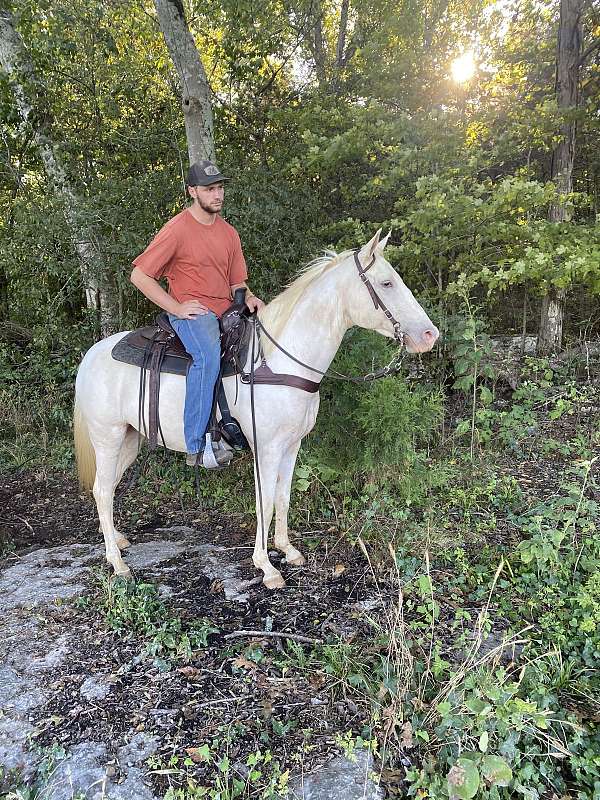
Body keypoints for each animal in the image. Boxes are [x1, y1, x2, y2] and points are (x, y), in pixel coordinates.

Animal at [75, 231, 438, 588]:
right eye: (386, 283)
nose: (429, 334)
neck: (278, 362)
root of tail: (92, 354)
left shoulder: (292, 446)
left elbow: (283, 496)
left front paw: (288, 550)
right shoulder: (267, 448)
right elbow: (264, 501)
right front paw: (267, 567)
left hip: (130, 439)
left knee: (105, 488)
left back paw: (118, 540)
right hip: (107, 437)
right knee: (103, 489)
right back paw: (117, 563)